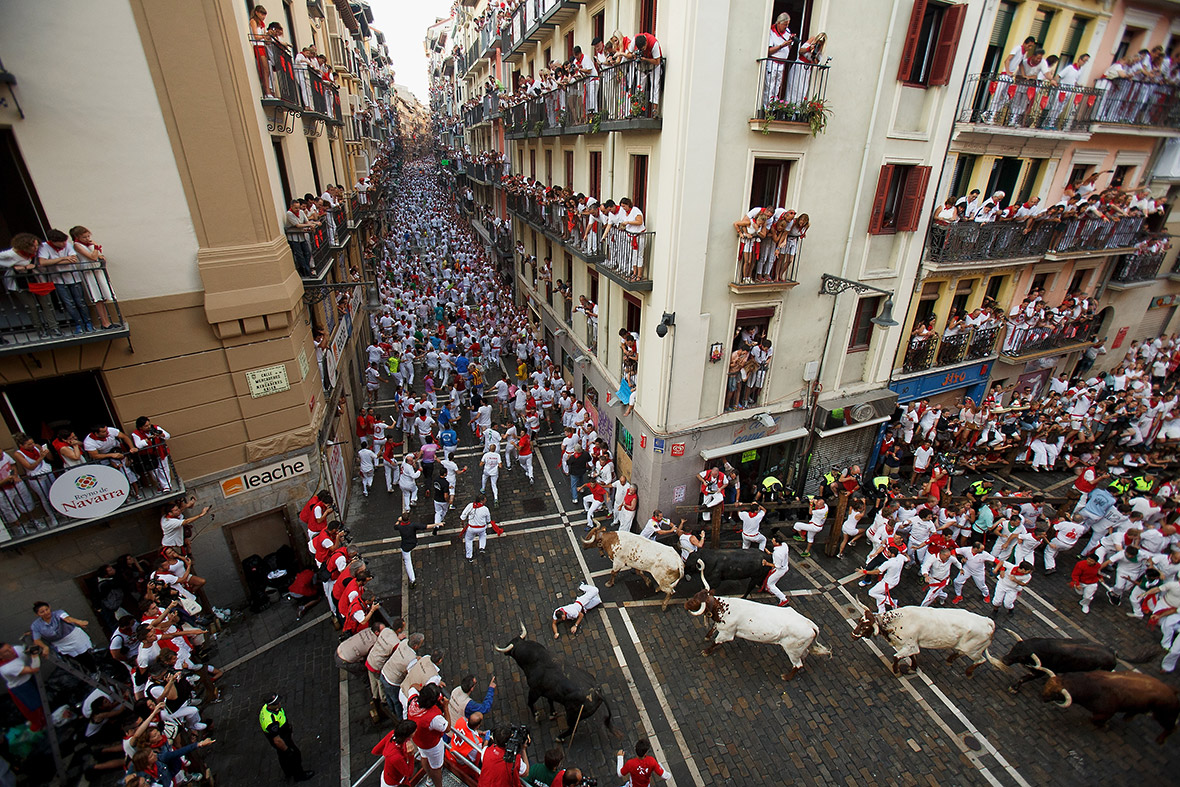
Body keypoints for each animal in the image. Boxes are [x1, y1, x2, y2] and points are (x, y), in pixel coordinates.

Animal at [849, 604, 1005, 679]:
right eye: (859, 620)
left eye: (866, 626)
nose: (853, 635)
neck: (898, 621)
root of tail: (988, 621)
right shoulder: (912, 645)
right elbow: (912, 657)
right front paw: (912, 668)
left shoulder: (910, 645)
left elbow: (896, 657)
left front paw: (897, 671)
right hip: (967, 648)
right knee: (961, 653)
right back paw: (950, 659)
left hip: (973, 650)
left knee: (980, 660)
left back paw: (968, 673)